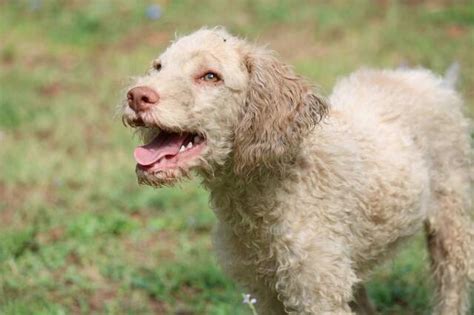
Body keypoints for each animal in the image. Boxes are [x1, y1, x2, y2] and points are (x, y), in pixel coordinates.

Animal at [120, 28, 472, 314]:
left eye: (210, 76)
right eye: (158, 67)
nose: (136, 95)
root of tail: (432, 80)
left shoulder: (315, 291)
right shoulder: (264, 290)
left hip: (452, 225)